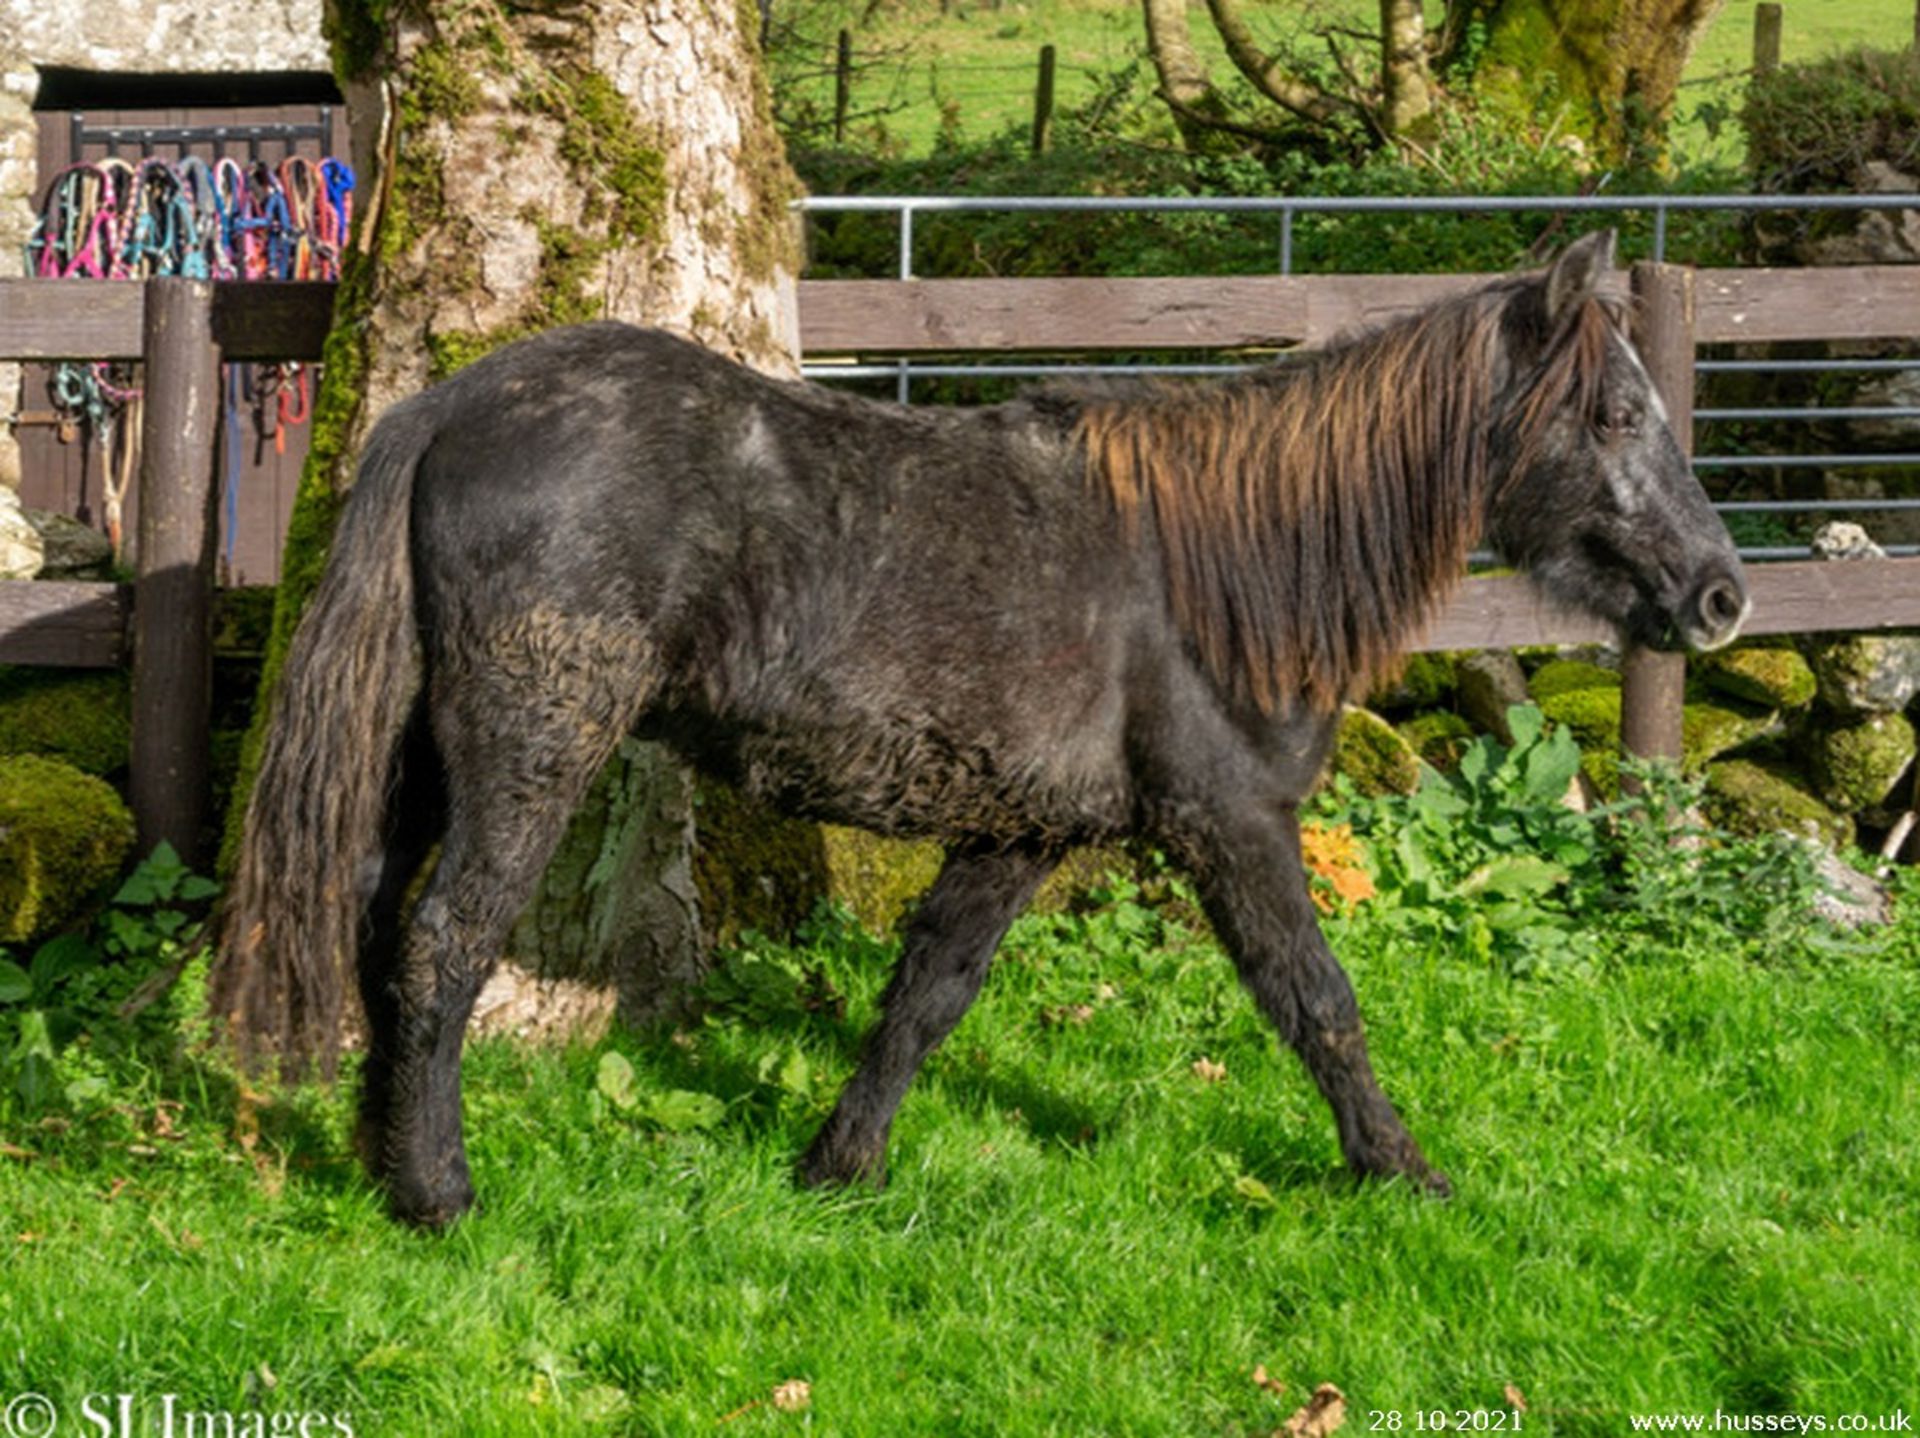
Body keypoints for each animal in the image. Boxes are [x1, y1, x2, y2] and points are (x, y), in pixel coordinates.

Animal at [217, 233, 1751, 1221]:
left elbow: (924, 1000)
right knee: (443, 944)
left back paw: (373, 1159)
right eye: (1616, 414)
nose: (1721, 594)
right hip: (532, 749)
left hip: (420, 755)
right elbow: (1318, 1002)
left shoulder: (1018, 833)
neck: (1217, 566)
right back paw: (439, 1194)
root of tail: (451, 405)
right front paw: (1403, 1173)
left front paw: (837, 1169)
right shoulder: (1232, 826)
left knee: (371, 930)